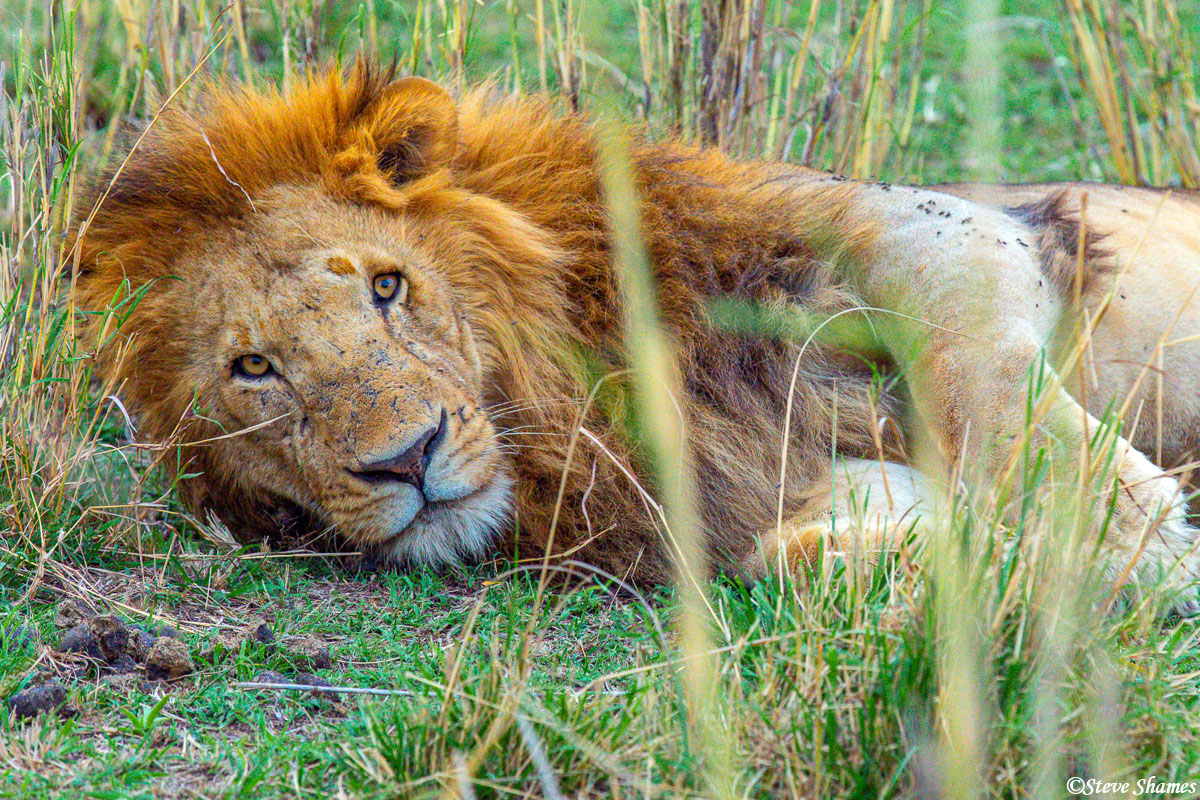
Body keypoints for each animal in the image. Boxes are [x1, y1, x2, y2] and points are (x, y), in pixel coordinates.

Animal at [70, 64, 1200, 614]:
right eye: (254, 368)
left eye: (389, 287)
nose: (408, 459)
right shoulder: (752, 488)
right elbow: (799, 554)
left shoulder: (955, 228)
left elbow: (977, 376)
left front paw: (1130, 530)